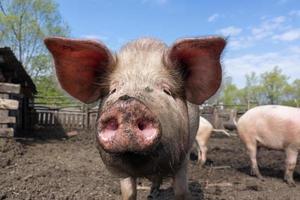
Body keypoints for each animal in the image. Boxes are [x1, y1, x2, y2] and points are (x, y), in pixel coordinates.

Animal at [44, 35, 225, 198]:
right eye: (113, 90)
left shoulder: (183, 155)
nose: (127, 105)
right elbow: (129, 192)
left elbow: (181, 190)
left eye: (167, 90)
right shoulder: (123, 171)